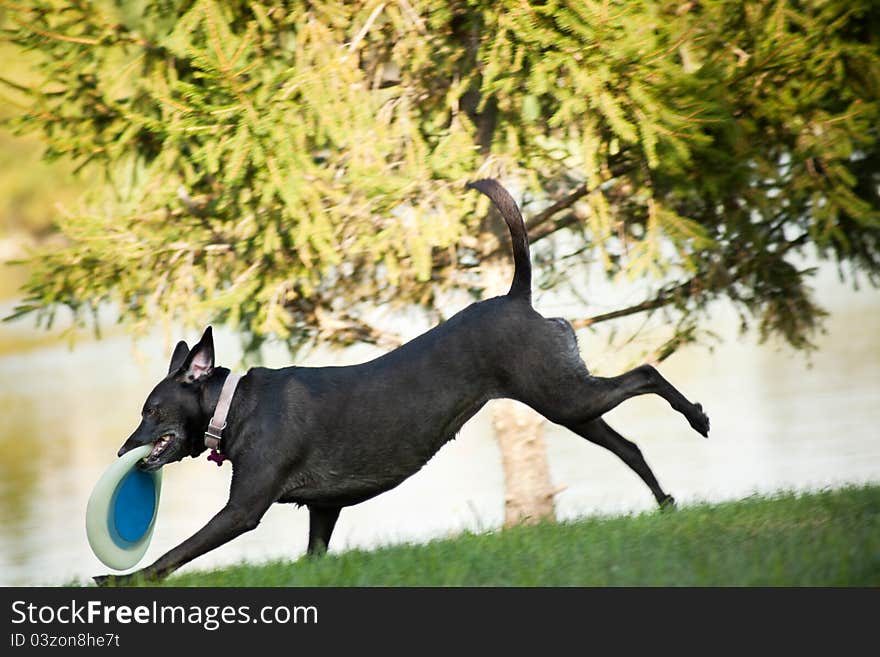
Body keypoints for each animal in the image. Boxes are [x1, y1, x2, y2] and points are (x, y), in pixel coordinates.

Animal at [94, 179, 708, 584]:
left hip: (563, 395)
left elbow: (175, 553)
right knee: (629, 445)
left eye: (151, 411)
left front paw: (122, 582)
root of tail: (518, 298)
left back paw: (698, 417)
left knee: (647, 373)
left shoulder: (244, 509)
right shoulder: (324, 509)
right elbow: (313, 553)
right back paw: (666, 502)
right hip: (567, 402)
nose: (122, 450)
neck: (232, 409)